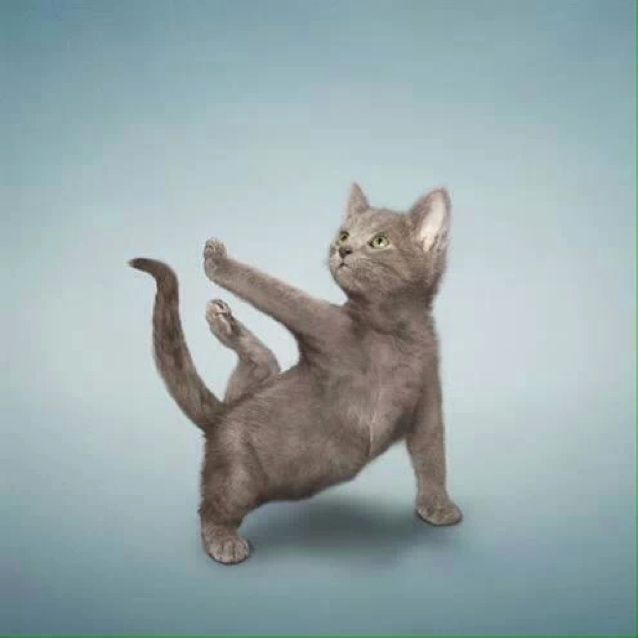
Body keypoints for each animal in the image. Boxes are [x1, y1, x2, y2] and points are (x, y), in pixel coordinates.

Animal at [130, 184, 462, 565]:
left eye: (379, 241)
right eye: (344, 234)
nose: (342, 249)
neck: (397, 332)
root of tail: (221, 419)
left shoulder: (427, 397)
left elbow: (432, 454)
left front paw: (438, 507)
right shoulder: (326, 327)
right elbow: (281, 293)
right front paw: (217, 261)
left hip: (254, 396)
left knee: (264, 362)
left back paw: (224, 323)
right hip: (240, 477)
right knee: (211, 508)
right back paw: (225, 542)